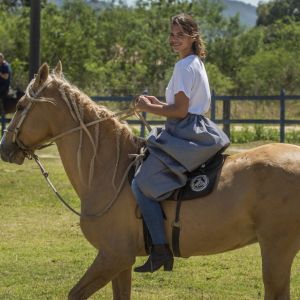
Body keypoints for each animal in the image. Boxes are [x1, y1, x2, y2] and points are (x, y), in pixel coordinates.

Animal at [0, 61, 300, 300]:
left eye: (21, 105)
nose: (5, 148)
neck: (109, 171)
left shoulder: (113, 256)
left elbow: (75, 294)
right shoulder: (121, 263)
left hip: (276, 250)